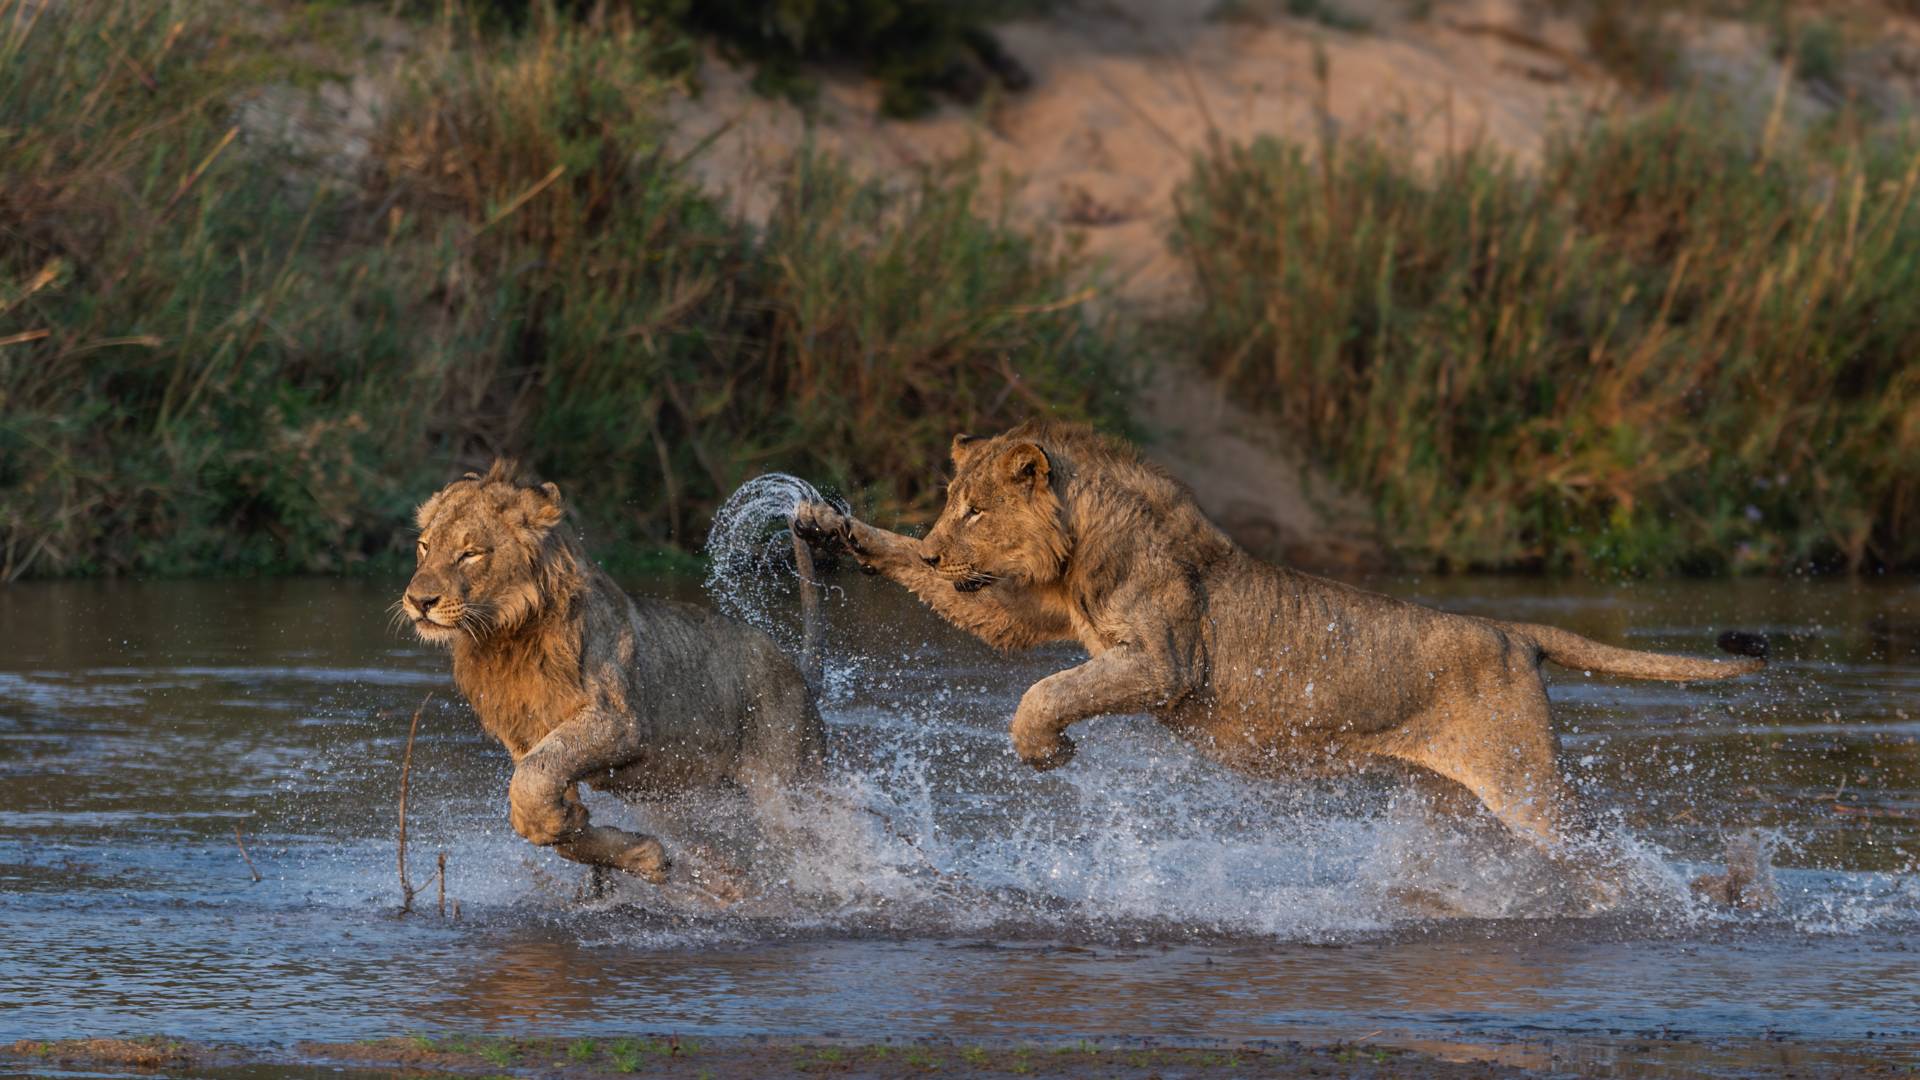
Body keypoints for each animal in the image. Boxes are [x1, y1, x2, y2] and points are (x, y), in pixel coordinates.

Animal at [402, 460, 826, 885]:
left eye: (470, 554)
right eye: (424, 547)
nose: (419, 601)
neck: (504, 638)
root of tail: (798, 671)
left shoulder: (617, 721)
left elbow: (532, 779)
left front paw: (565, 822)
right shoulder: (527, 738)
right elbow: (550, 821)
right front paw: (628, 848)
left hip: (783, 790)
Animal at [794, 422, 1766, 891]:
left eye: (975, 510)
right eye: (944, 505)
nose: (938, 551)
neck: (1080, 550)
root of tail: (1516, 631)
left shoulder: (1164, 664)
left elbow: (1049, 690)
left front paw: (1046, 751)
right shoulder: (1028, 616)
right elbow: (988, 628)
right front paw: (832, 527)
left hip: (1526, 784)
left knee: (1608, 852)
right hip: (1451, 804)